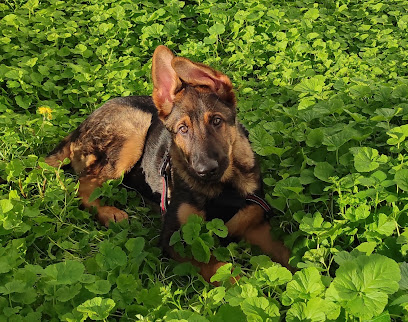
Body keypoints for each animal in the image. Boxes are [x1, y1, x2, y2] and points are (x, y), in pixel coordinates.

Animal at [46, 45, 292, 282]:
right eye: (182, 129)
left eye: (216, 121)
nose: (205, 170)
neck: (222, 188)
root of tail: (79, 129)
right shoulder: (177, 238)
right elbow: (221, 269)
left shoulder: (257, 226)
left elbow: (287, 254)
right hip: (135, 129)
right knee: (85, 182)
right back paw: (109, 213)